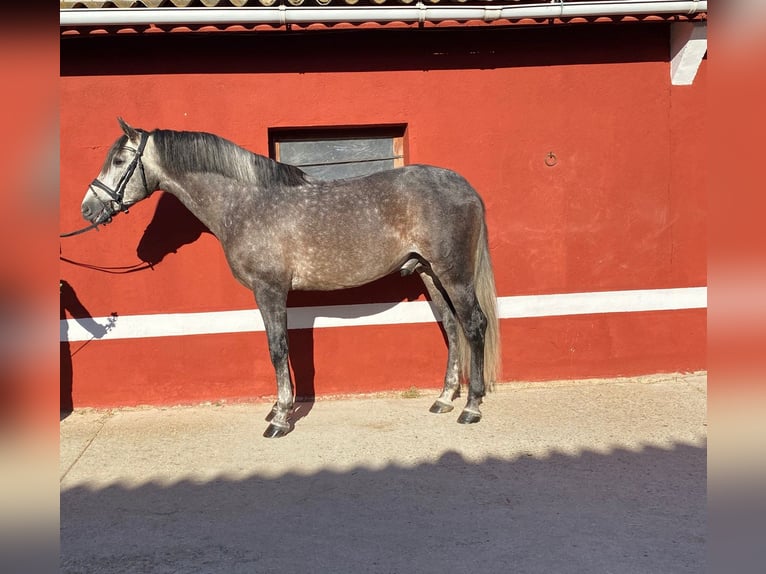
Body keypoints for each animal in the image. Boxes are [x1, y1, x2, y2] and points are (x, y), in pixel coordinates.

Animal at [81, 119, 504, 438]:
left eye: (119, 159)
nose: (88, 208)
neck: (247, 203)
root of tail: (465, 187)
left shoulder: (269, 290)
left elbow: (277, 348)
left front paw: (281, 417)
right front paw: (275, 409)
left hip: (454, 274)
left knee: (473, 324)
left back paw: (471, 406)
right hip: (429, 273)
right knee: (451, 326)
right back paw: (444, 399)